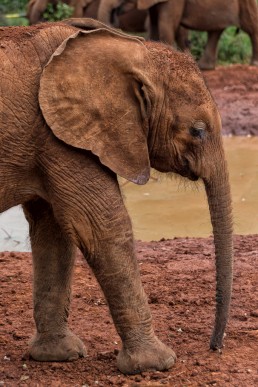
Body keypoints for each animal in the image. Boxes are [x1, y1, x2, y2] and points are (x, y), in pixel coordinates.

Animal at [0, 19, 234, 376]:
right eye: (198, 131)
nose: (214, 347)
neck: (131, 48)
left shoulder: (54, 137)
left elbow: (54, 232)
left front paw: (58, 355)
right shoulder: (60, 138)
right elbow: (102, 227)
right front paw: (157, 364)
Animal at [98, 0, 258, 69]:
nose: (114, 15)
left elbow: (166, 26)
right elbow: (154, 26)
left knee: (251, 26)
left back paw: (254, 64)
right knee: (216, 29)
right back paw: (204, 67)